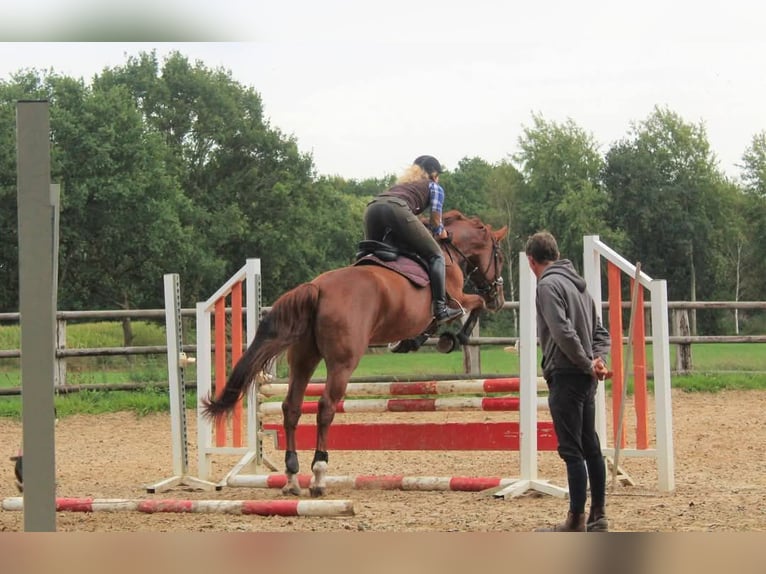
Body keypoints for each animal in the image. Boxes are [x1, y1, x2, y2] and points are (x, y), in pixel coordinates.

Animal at [202, 209, 510, 498]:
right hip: (343, 362)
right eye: (500, 257)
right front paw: (453, 338)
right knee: (325, 407)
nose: (500, 299)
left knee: (291, 407)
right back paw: (319, 475)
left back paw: (292, 477)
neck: (448, 251)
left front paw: (410, 342)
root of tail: (317, 287)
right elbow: (472, 306)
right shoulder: (456, 298)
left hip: (303, 359)